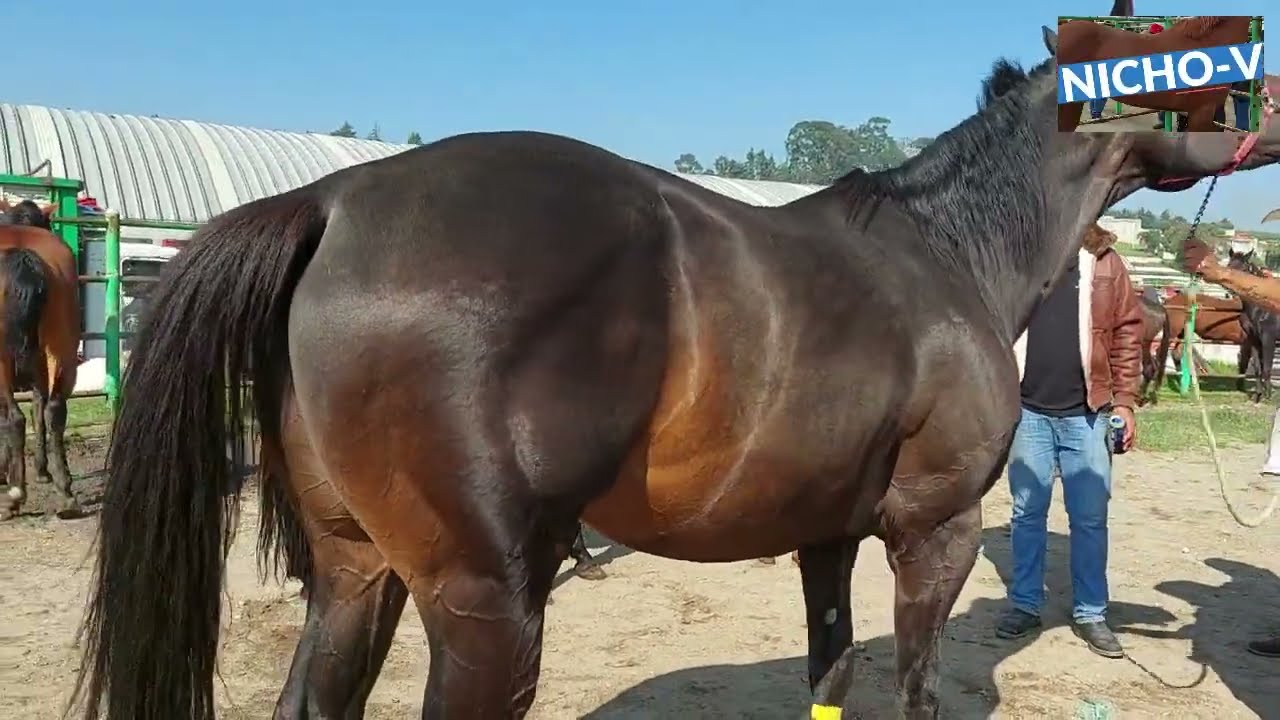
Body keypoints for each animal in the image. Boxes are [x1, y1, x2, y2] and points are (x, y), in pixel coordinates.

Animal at [1226, 249, 1280, 402]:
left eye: (1244, 270)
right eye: (1229, 266)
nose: (1232, 290)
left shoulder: (1268, 339)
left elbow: (1267, 367)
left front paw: (1268, 396)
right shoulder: (1254, 339)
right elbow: (1257, 368)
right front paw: (1258, 395)